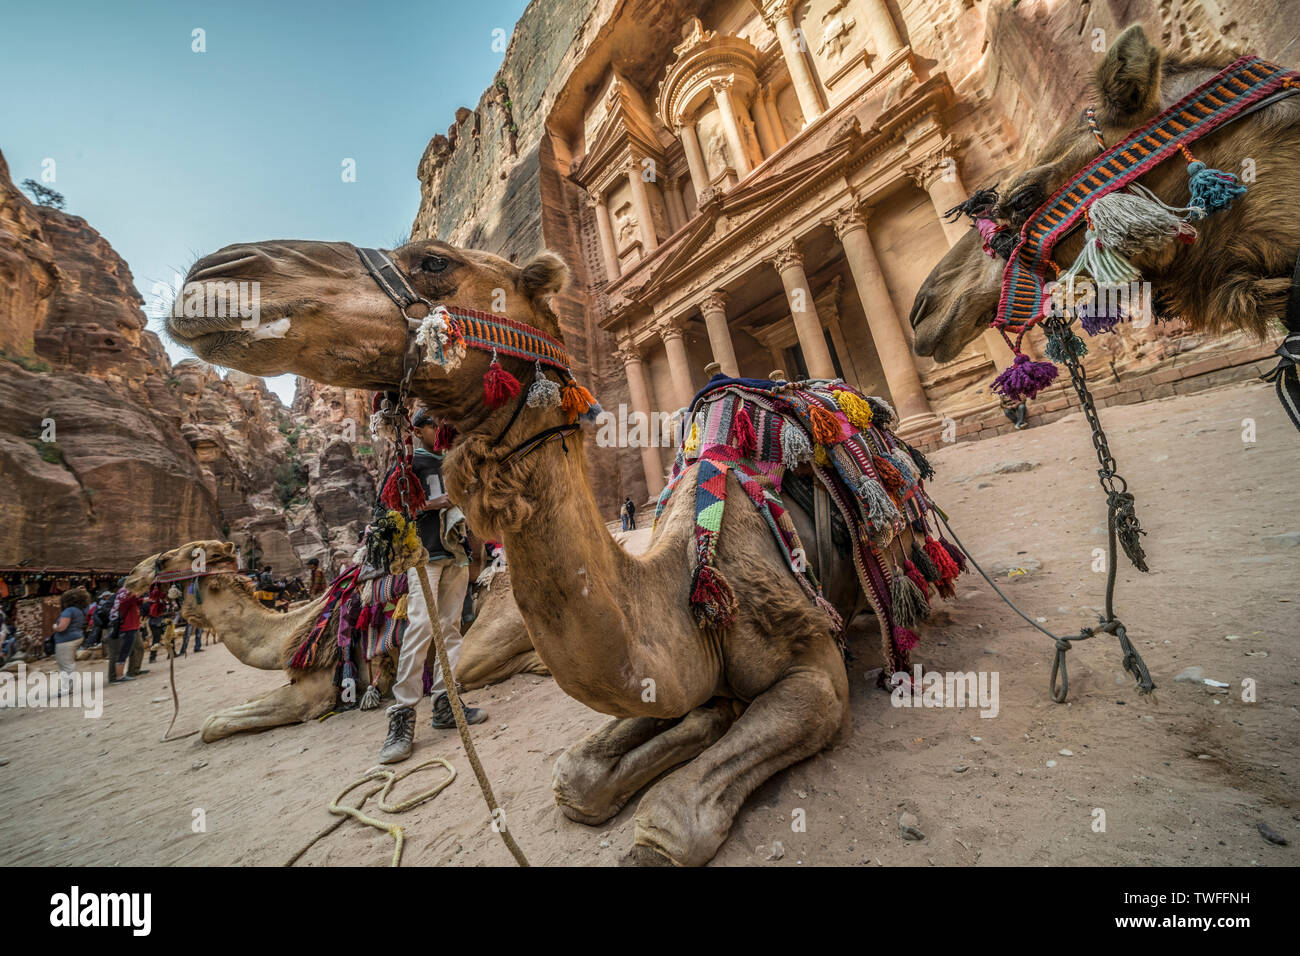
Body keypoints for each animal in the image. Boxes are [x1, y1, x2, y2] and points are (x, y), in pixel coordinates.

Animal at [167, 234, 925, 868]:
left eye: (435, 260)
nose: (218, 274)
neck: (691, 587)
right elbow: (577, 778)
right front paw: (704, 718)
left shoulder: (814, 671)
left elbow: (670, 824)